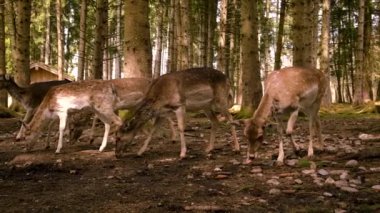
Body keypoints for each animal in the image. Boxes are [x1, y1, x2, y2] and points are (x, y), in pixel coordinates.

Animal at [24, 78, 157, 153]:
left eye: (26, 135)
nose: (26, 148)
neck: (48, 108)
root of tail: (112, 88)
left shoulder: (62, 110)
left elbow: (61, 128)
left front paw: (58, 149)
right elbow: (53, 127)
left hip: (104, 106)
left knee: (119, 120)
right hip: (98, 109)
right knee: (108, 123)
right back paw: (102, 148)